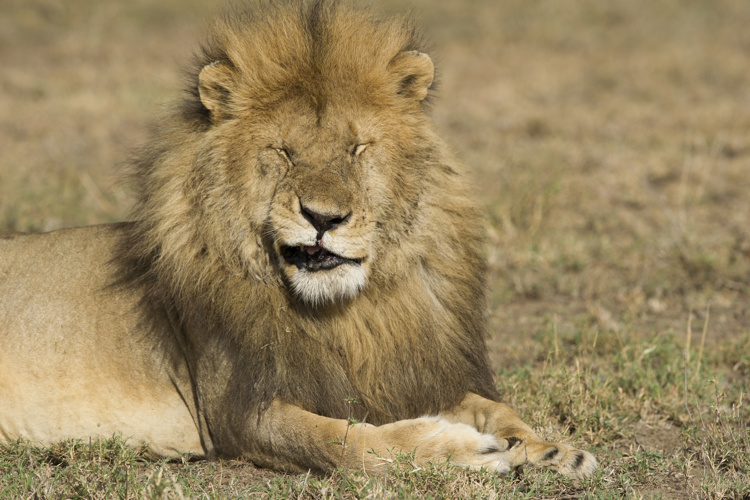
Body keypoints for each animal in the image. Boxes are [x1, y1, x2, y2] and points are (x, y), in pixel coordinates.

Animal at [0, 0, 597, 479]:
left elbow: (496, 407)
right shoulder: (236, 414)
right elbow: (347, 443)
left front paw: (551, 450)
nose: (323, 217)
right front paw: (466, 452)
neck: (349, 314)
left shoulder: (398, 376)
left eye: (358, 148)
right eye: (283, 152)